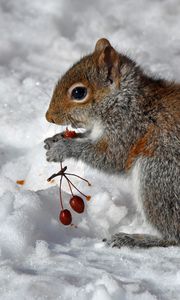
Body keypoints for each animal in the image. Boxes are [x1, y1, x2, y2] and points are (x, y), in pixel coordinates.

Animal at [44, 38, 179, 248]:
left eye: (79, 92)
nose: (48, 117)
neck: (124, 100)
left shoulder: (128, 129)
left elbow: (110, 157)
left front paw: (63, 148)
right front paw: (55, 140)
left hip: (158, 176)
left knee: (172, 234)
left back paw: (134, 239)